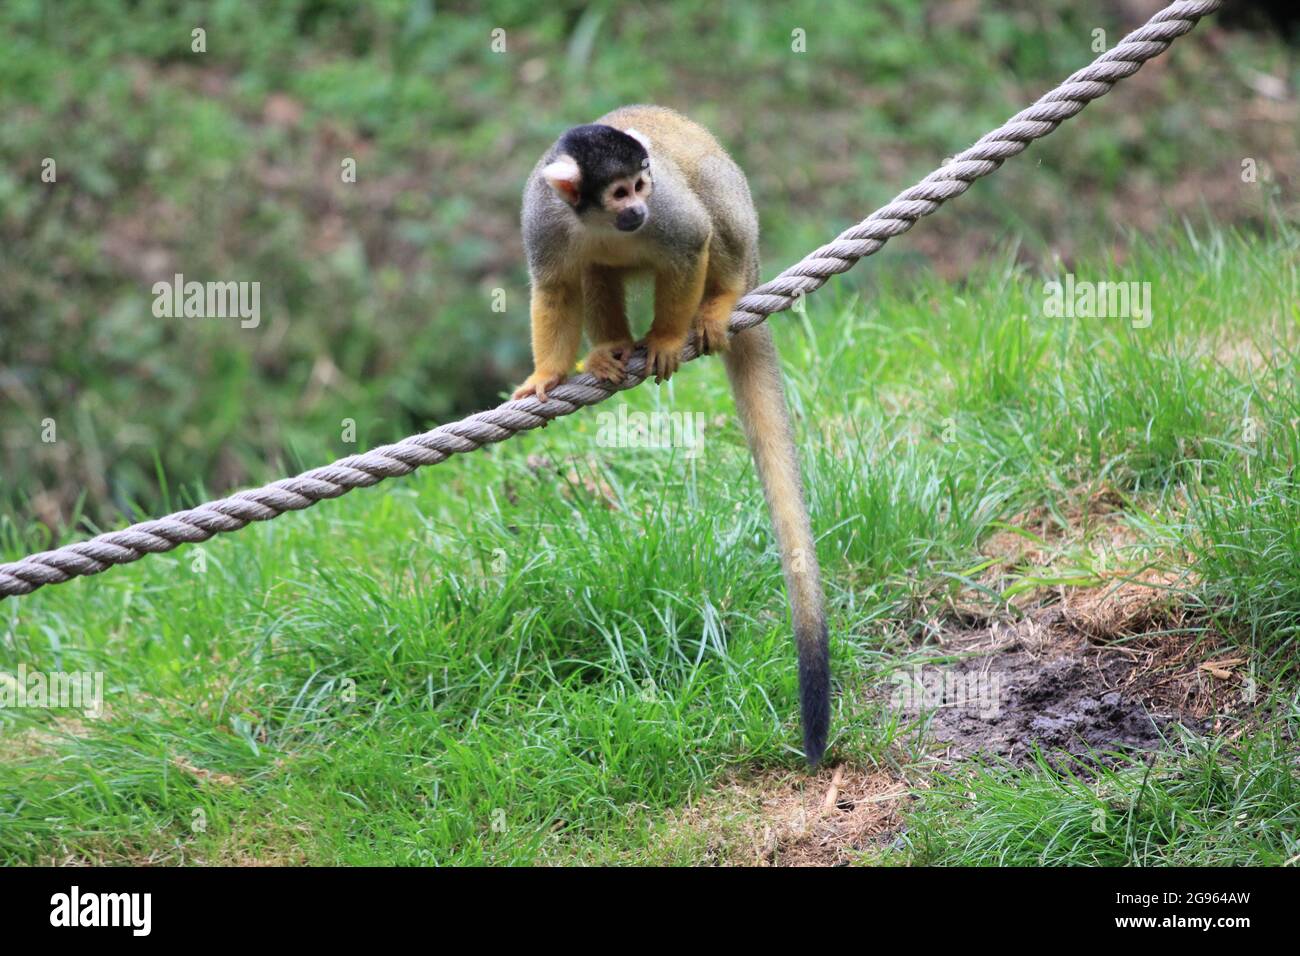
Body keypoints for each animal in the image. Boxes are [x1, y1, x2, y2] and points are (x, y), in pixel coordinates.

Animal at [512, 102, 826, 764]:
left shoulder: (668, 213)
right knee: (596, 269)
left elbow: (691, 241)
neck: (599, 219)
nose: (638, 209)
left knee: (709, 204)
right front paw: (547, 375)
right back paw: (609, 349)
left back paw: (717, 303)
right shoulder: (543, 217)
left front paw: (663, 339)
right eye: (618, 191)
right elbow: (555, 287)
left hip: (741, 231)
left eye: (640, 186)